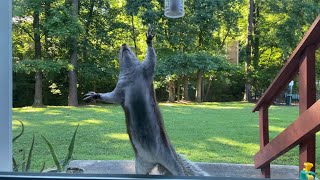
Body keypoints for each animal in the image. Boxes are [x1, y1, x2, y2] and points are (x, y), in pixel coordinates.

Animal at [84, 26, 208, 176]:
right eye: (119, 53)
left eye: (131, 50)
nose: (123, 45)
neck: (131, 73)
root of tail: (155, 160)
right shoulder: (119, 90)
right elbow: (111, 97)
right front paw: (95, 95)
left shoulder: (146, 71)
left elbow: (151, 59)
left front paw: (149, 40)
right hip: (141, 164)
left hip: (170, 160)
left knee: (178, 170)